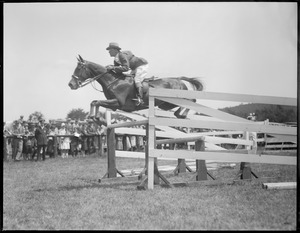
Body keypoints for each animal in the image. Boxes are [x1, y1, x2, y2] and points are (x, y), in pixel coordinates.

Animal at [68, 54, 204, 122]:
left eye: (79, 68)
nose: (71, 84)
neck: (113, 81)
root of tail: (178, 80)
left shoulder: (118, 102)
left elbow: (96, 102)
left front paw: (94, 117)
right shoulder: (114, 105)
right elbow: (95, 102)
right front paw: (94, 117)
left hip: (176, 99)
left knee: (192, 101)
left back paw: (182, 115)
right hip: (165, 105)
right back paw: (179, 115)